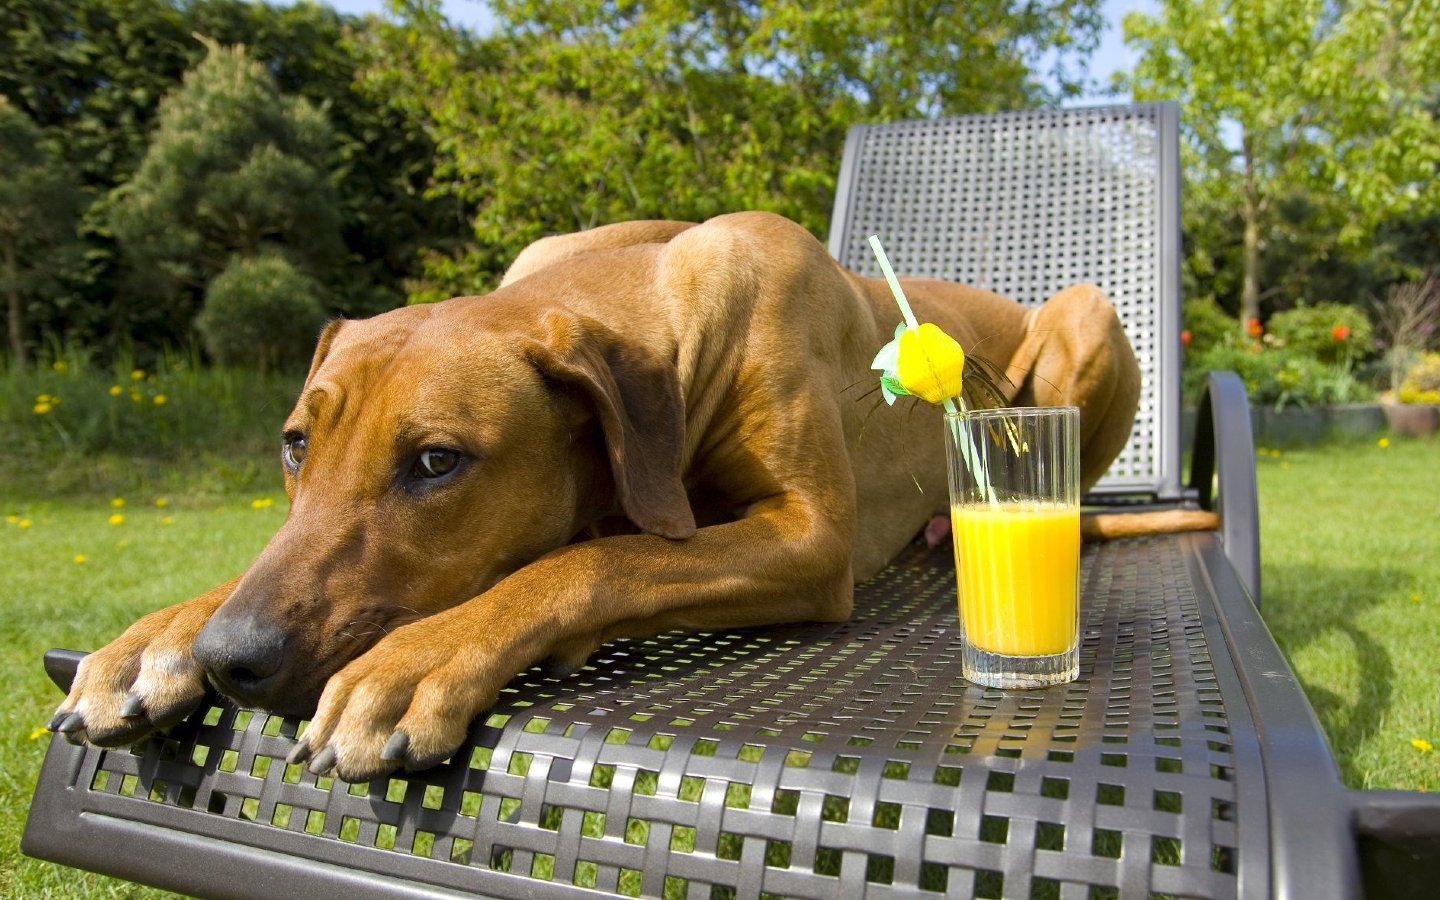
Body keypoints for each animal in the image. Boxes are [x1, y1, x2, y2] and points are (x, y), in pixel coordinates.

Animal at [50, 211, 1140, 777]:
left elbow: (598, 557)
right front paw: (157, 640)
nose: (231, 660)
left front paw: (416, 662)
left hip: (1085, 314)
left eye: (436, 463)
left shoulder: (809, 537)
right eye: (294, 446)